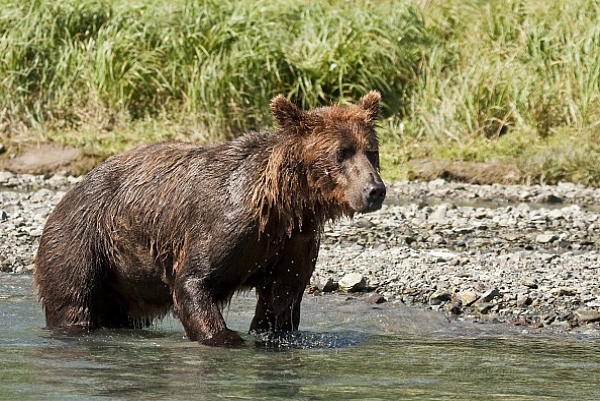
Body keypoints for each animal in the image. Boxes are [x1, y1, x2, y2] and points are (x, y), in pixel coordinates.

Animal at [35, 90, 386, 344]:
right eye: (341, 153)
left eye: (371, 151)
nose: (374, 190)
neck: (283, 208)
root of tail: (70, 192)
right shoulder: (226, 225)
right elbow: (194, 280)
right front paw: (225, 336)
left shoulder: (294, 244)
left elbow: (280, 300)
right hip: (83, 242)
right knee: (73, 301)